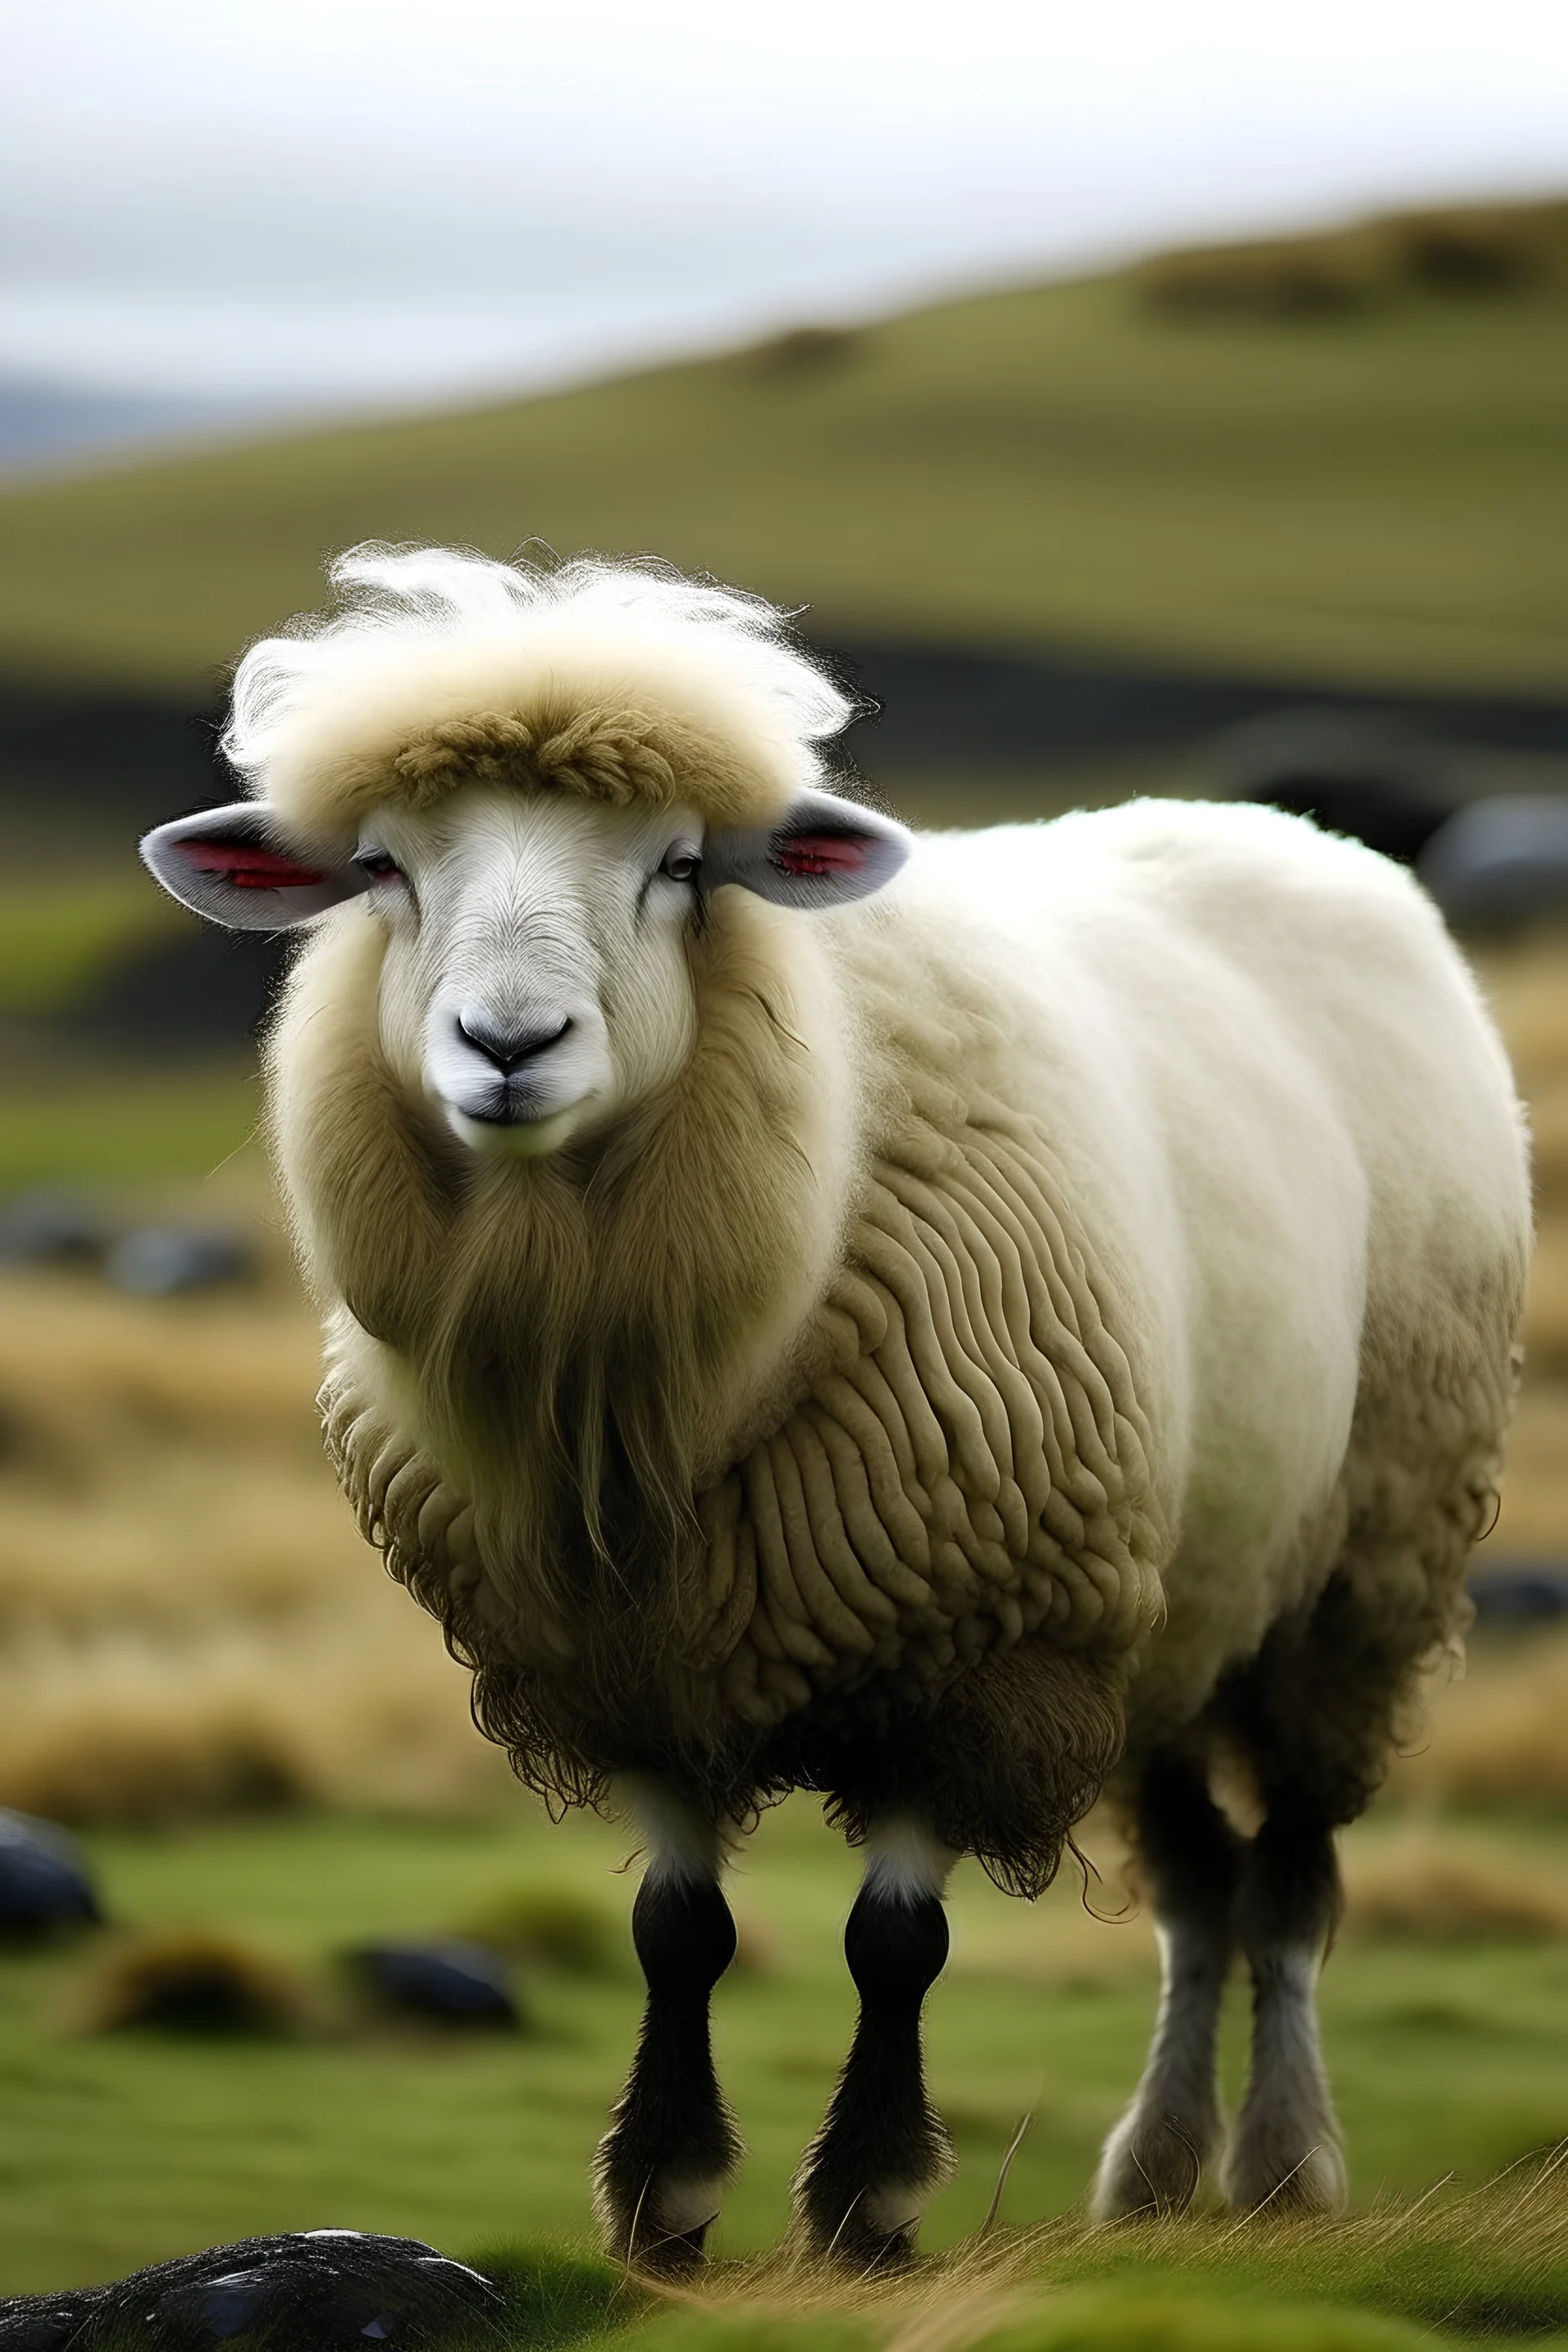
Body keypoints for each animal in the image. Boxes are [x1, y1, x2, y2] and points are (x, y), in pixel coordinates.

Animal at [140, 541, 1523, 2267]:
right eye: (385, 869)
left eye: (680, 868)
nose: (510, 1047)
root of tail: (1286, 829)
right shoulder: (631, 1660)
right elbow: (676, 1930)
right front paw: (663, 2197)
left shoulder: (975, 1644)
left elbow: (894, 1945)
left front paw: (865, 2201)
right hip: (1176, 1594)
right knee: (1200, 1896)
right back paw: (1153, 2175)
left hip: (1357, 1579)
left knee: (1284, 1888)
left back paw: (1280, 2169)